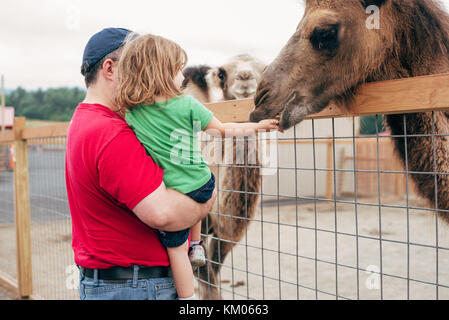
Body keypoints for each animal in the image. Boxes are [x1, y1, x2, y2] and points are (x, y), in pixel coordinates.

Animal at [182, 53, 266, 298]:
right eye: (222, 73)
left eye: (264, 69)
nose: (245, 77)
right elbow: (208, 282)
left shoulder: (223, 235)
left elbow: (213, 271)